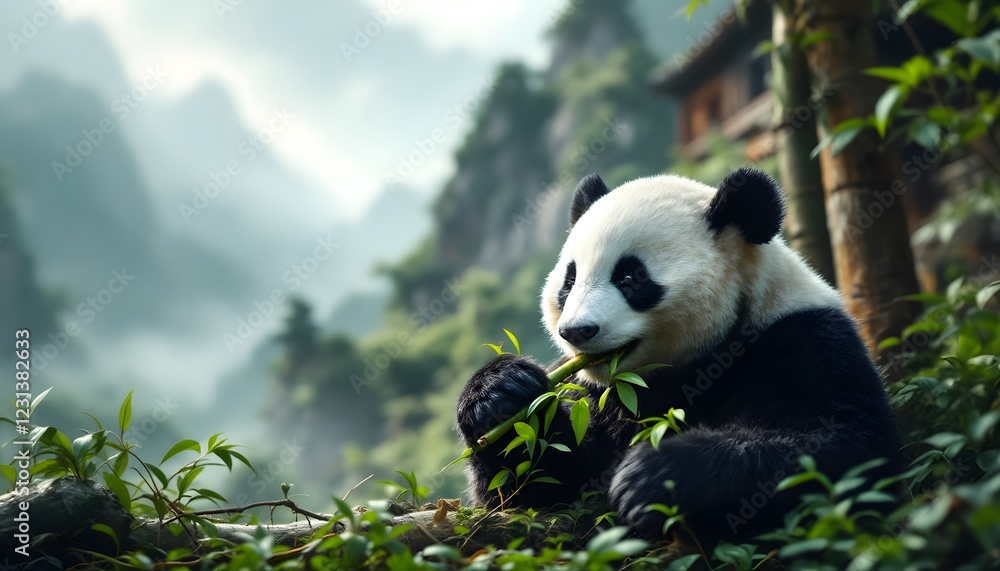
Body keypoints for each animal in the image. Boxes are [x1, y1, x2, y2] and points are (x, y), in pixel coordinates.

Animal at [456, 167, 900, 539]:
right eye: (570, 280)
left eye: (630, 278)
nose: (577, 332)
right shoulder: (598, 395)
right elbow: (535, 490)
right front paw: (500, 395)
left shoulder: (805, 341)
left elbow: (843, 441)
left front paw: (652, 478)